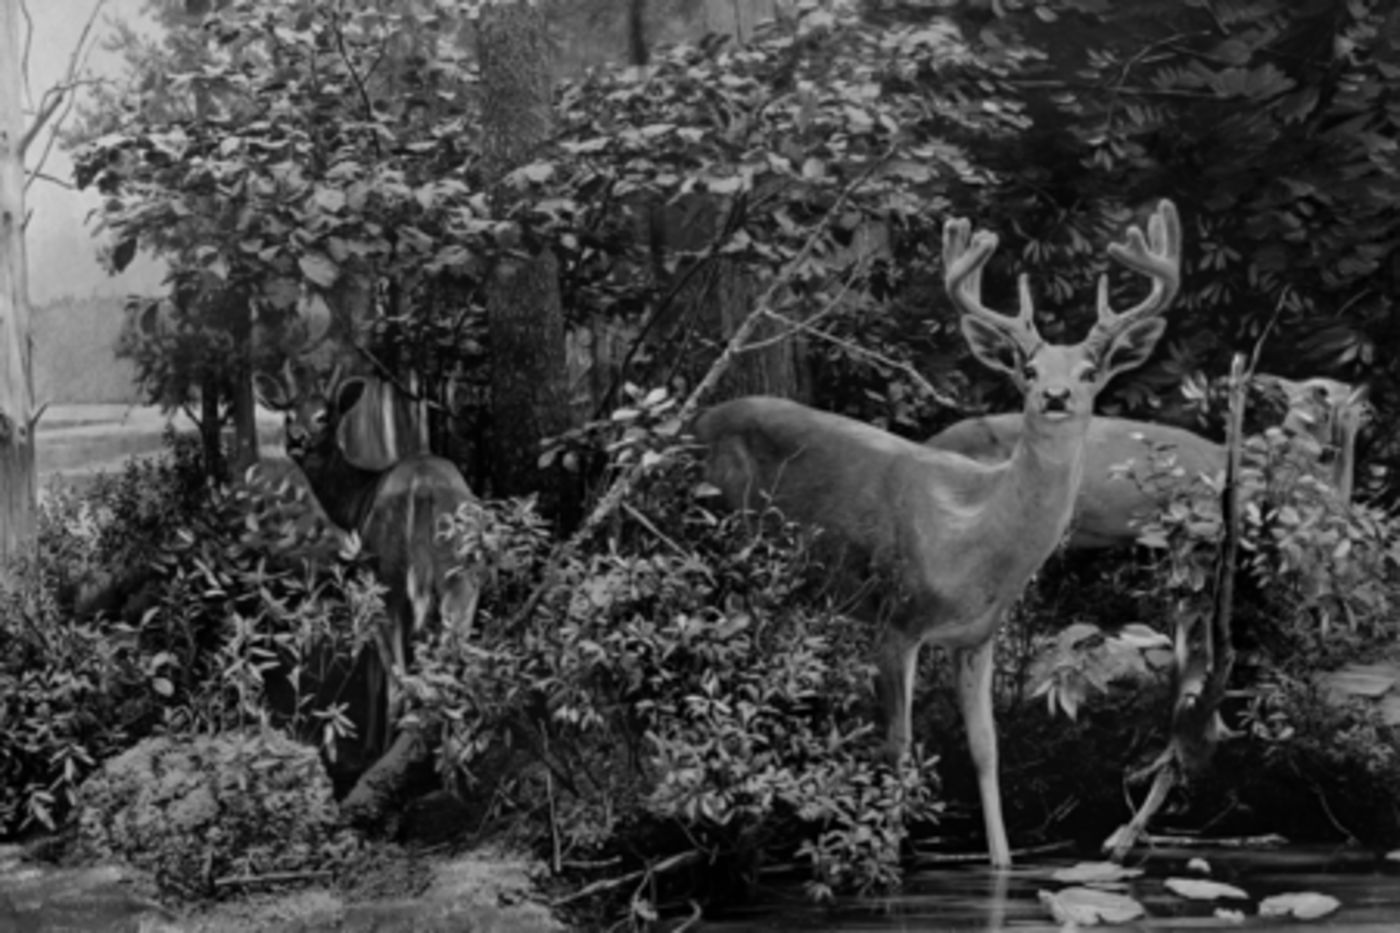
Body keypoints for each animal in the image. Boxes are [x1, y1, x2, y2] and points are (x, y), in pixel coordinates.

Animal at [257, 364, 481, 756]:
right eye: (288, 415)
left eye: (324, 415)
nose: (297, 439)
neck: (355, 503)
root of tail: (423, 490)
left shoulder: (365, 580)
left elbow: (374, 674)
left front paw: (369, 741)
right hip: (462, 578)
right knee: (456, 672)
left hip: (387, 578)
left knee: (397, 682)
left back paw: (379, 754)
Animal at [697, 200, 1181, 862]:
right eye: (1029, 367)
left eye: (1089, 370)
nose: (1055, 395)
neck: (972, 545)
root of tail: (692, 424)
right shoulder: (896, 619)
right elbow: (898, 746)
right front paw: (889, 860)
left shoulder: (977, 638)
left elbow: (986, 750)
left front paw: (1001, 863)